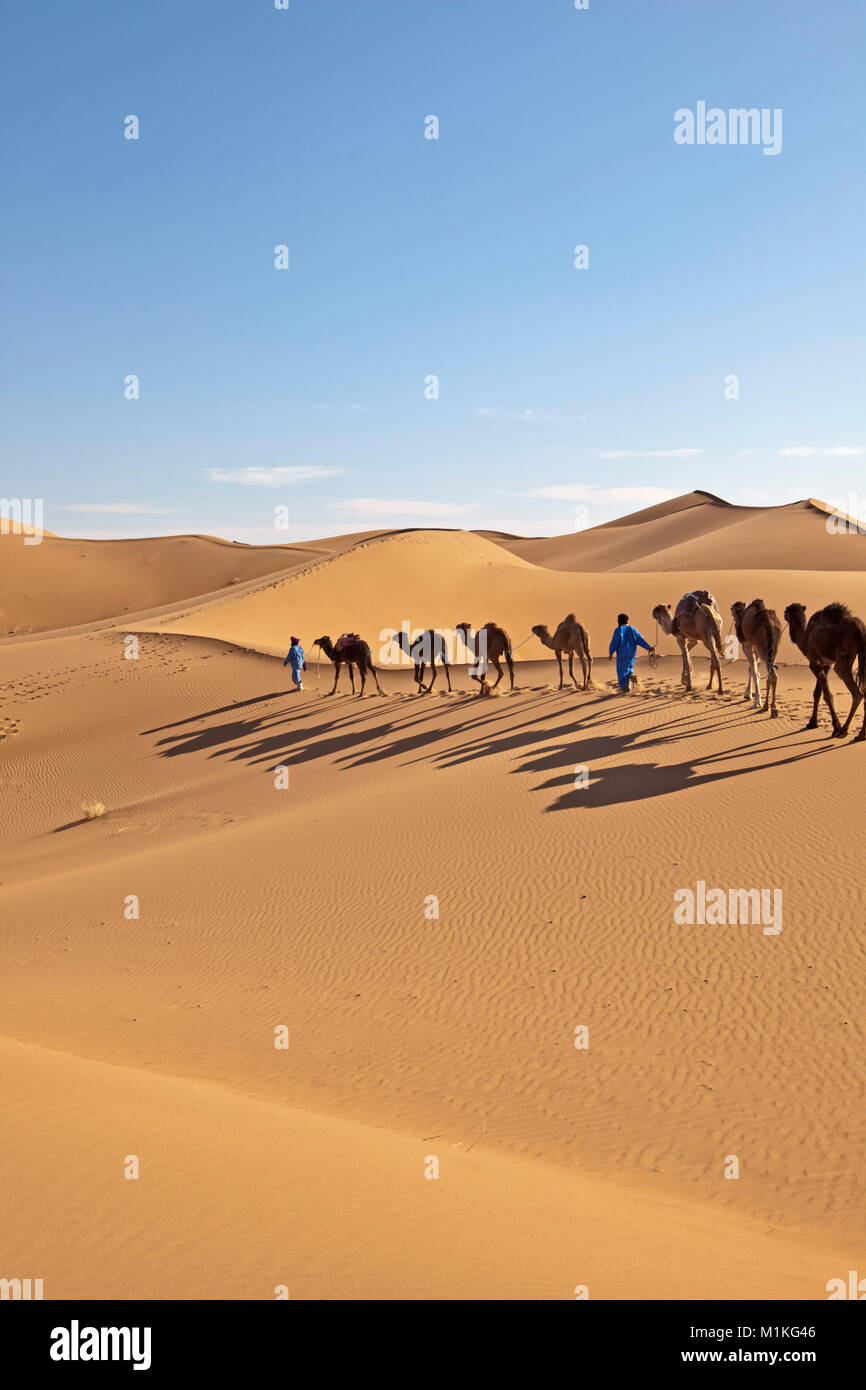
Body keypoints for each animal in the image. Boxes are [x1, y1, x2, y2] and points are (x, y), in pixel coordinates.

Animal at [783, 606, 866, 745]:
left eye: (786, 613)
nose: (784, 615)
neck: (805, 639)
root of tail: (859, 630)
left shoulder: (814, 662)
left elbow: (827, 695)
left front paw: (836, 728)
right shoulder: (825, 664)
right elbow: (817, 693)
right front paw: (812, 723)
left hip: (843, 658)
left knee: (856, 693)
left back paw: (843, 731)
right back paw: (860, 735)